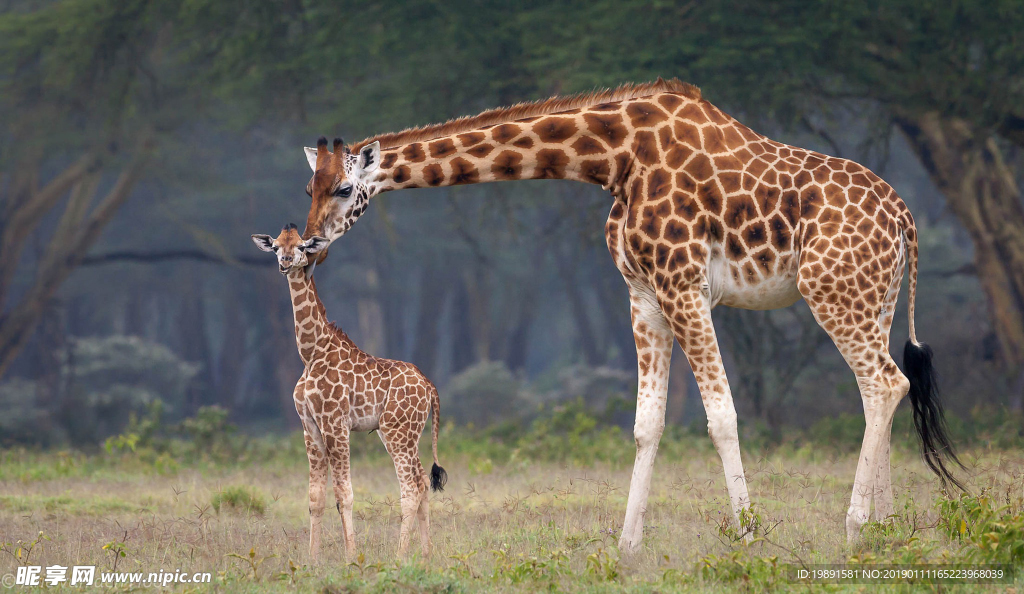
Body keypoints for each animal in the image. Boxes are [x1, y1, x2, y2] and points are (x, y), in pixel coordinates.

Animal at [250, 224, 444, 561]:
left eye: (301, 246)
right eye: (275, 246)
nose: (285, 262)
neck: (311, 353)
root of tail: (429, 386)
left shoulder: (335, 423)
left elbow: (345, 493)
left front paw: (351, 556)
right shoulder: (309, 426)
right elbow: (315, 497)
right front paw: (312, 559)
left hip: (396, 431)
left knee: (410, 487)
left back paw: (399, 557)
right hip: (407, 433)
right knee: (421, 481)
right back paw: (426, 554)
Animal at [299, 78, 958, 553]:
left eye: (342, 190)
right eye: (309, 188)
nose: (309, 243)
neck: (613, 157)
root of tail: (905, 216)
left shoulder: (684, 285)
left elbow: (722, 416)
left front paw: (747, 536)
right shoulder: (643, 295)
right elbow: (647, 424)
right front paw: (627, 546)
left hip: (834, 292)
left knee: (883, 383)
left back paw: (856, 528)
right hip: (873, 299)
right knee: (885, 388)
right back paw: (886, 529)